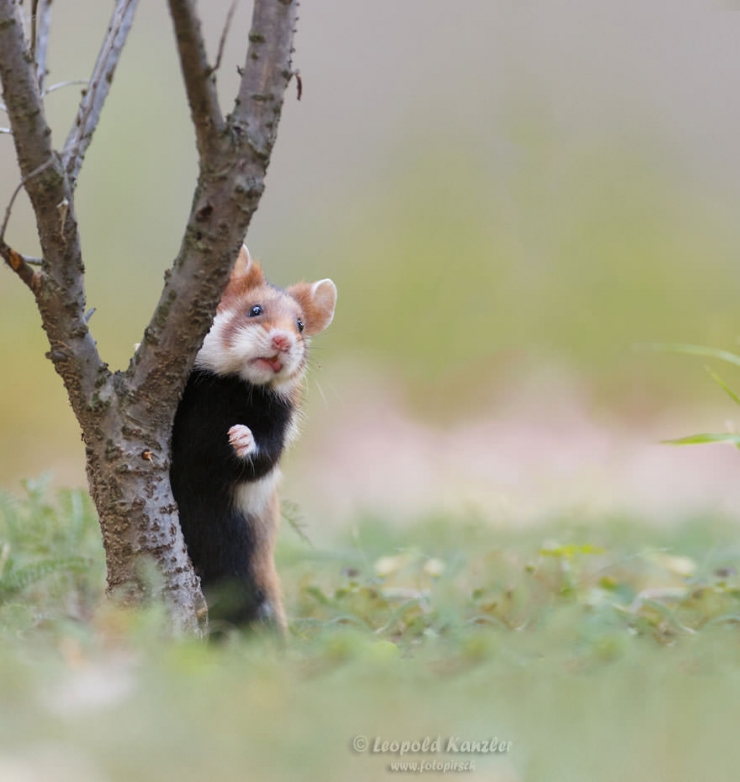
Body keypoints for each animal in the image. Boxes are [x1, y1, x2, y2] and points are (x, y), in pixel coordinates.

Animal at [170, 246, 337, 633]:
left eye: (300, 325)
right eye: (255, 310)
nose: (282, 341)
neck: (235, 388)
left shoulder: (278, 427)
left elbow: (261, 454)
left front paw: (238, 436)